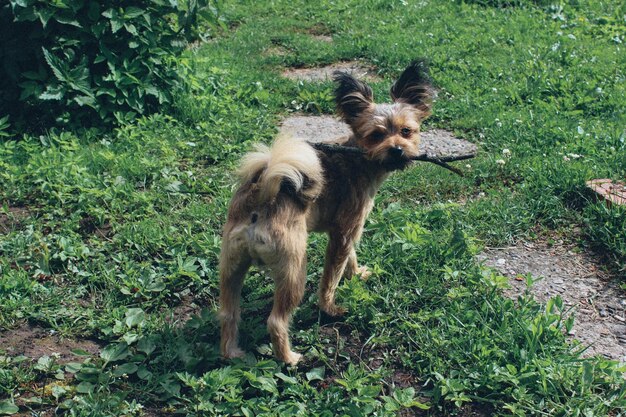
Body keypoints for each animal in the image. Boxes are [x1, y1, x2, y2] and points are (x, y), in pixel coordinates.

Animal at [217, 60, 432, 362]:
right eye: (376, 135)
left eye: (406, 131)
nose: (398, 150)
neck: (359, 157)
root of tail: (261, 195)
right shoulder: (345, 230)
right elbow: (331, 275)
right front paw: (330, 307)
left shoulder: (345, 231)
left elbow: (349, 257)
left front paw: (356, 273)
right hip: (293, 270)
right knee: (276, 321)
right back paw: (289, 358)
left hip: (231, 268)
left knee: (228, 314)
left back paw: (232, 352)